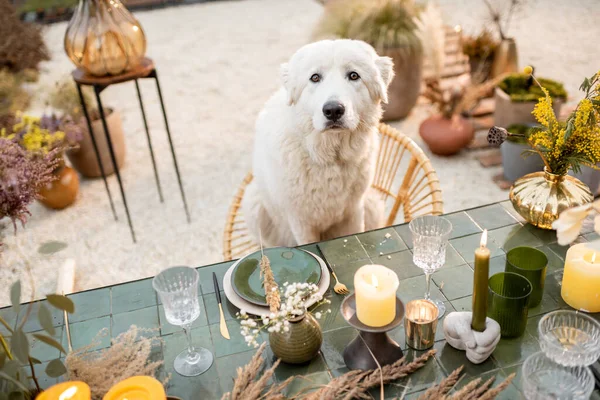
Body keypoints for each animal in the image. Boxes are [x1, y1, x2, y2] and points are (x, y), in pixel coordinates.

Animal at [241, 39, 396, 247]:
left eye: (354, 75)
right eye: (315, 78)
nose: (333, 110)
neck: (329, 157)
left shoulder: (354, 211)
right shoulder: (300, 222)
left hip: (372, 204)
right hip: (254, 205)